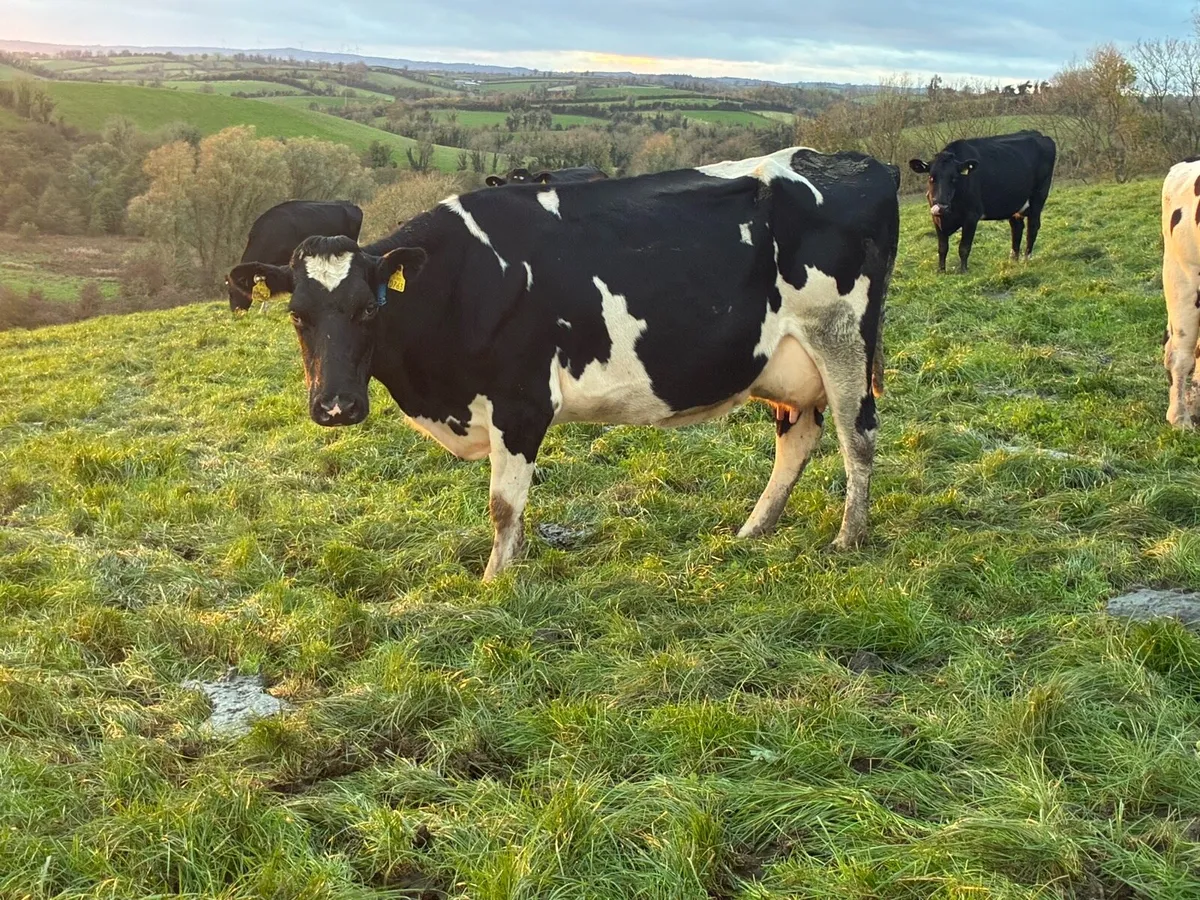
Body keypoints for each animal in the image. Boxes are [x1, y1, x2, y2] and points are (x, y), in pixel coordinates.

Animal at [909, 130, 1056, 273]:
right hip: (1014, 204)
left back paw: (1026, 259)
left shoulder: (971, 216)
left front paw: (963, 271)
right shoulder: (936, 218)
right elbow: (942, 248)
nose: (941, 207)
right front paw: (941, 271)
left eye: (954, 178)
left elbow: (964, 247)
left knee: (1032, 227)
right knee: (1017, 228)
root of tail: (1038, 134)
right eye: (931, 177)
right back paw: (1013, 260)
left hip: (1038, 197)